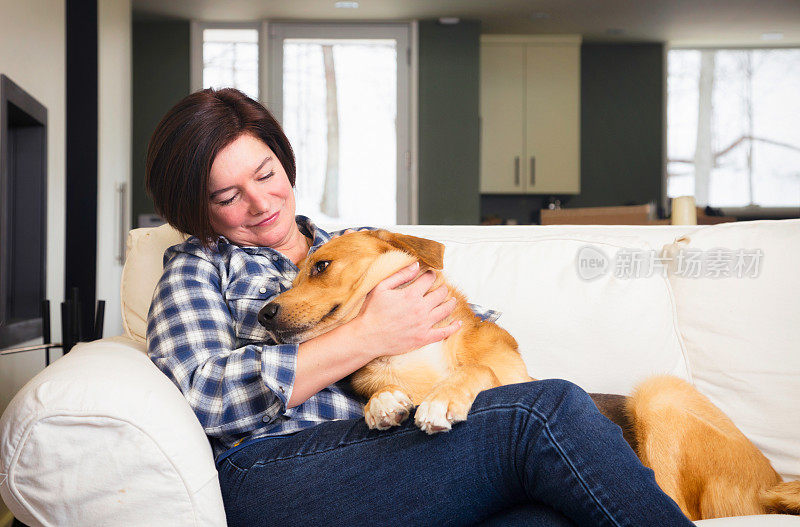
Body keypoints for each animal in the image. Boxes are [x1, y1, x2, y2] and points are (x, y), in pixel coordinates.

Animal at [258, 230, 800, 520]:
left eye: (320, 266)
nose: (263, 314)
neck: (410, 355)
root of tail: (774, 482)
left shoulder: (507, 374)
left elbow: (475, 368)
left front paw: (441, 398)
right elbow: (381, 393)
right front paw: (385, 401)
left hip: (660, 395)